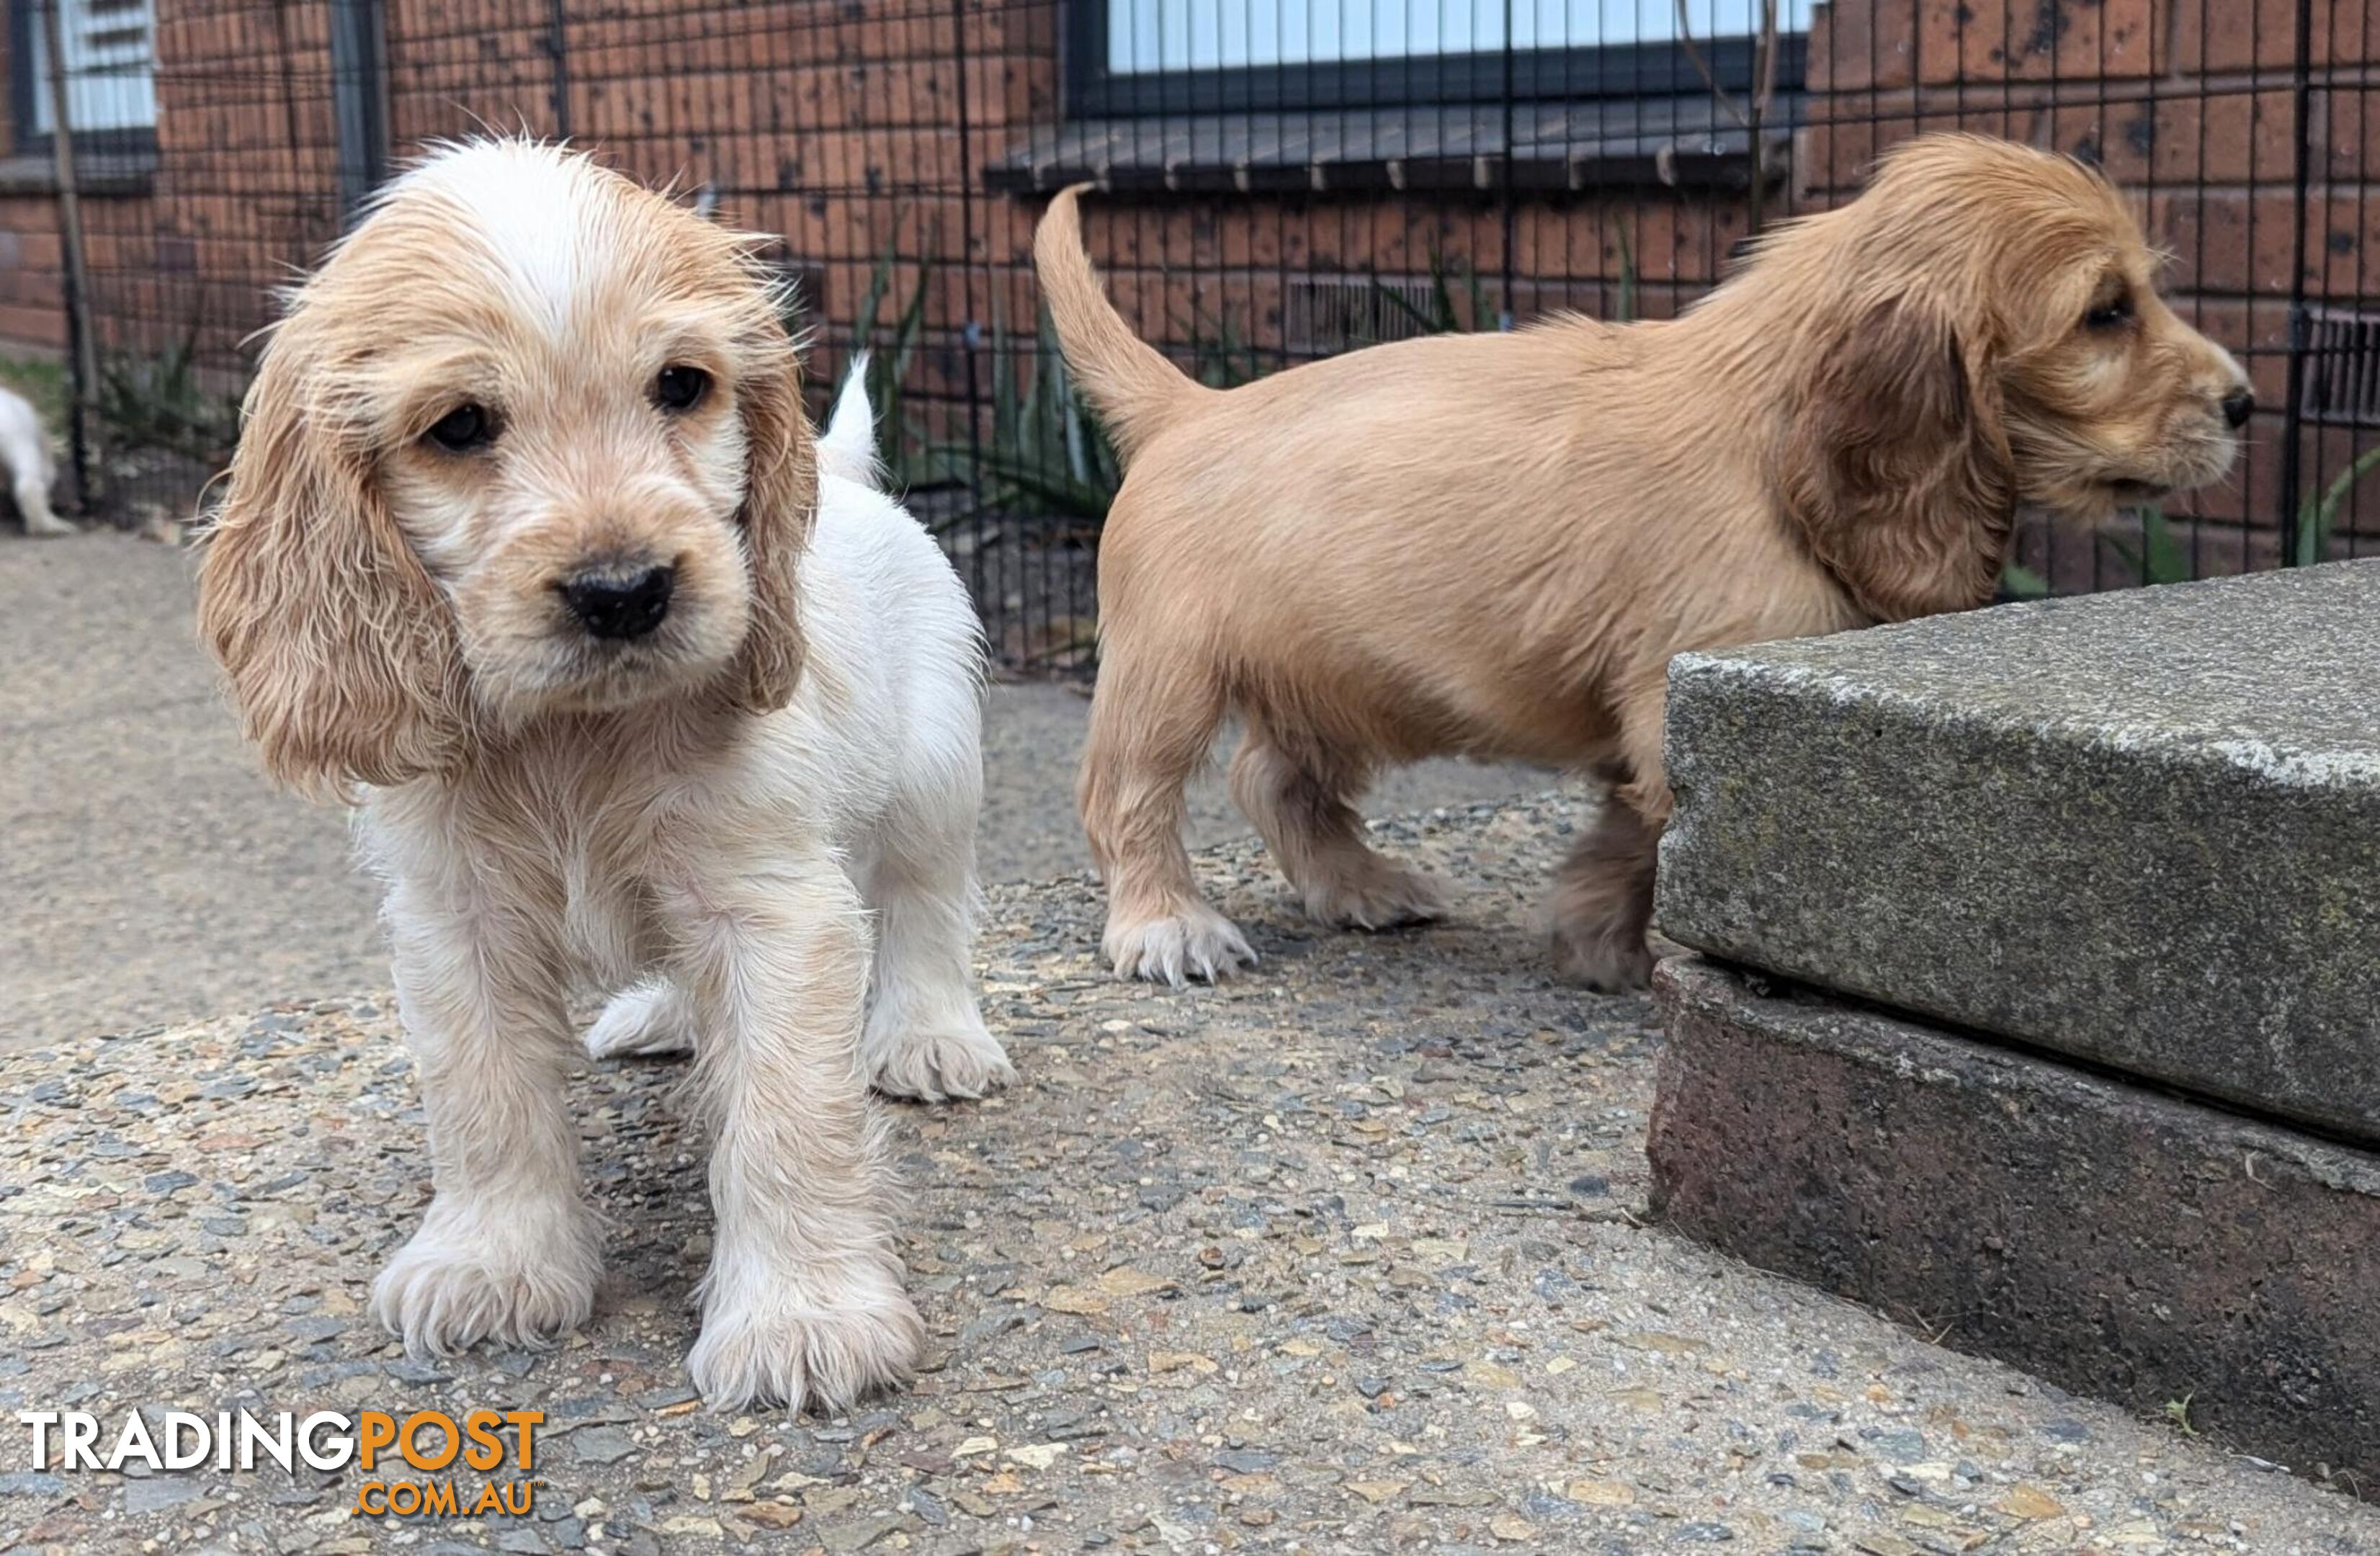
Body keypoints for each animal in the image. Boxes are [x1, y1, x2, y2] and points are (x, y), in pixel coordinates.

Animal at [200, 140, 1008, 1418]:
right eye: (459, 424)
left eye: (681, 386)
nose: (625, 591)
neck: (573, 739)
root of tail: (849, 479)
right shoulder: (457, 917)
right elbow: (482, 1100)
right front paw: (492, 1261)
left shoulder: (774, 908)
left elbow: (786, 1115)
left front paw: (801, 1316)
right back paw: (664, 1013)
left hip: (934, 772)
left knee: (928, 906)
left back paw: (930, 1039)